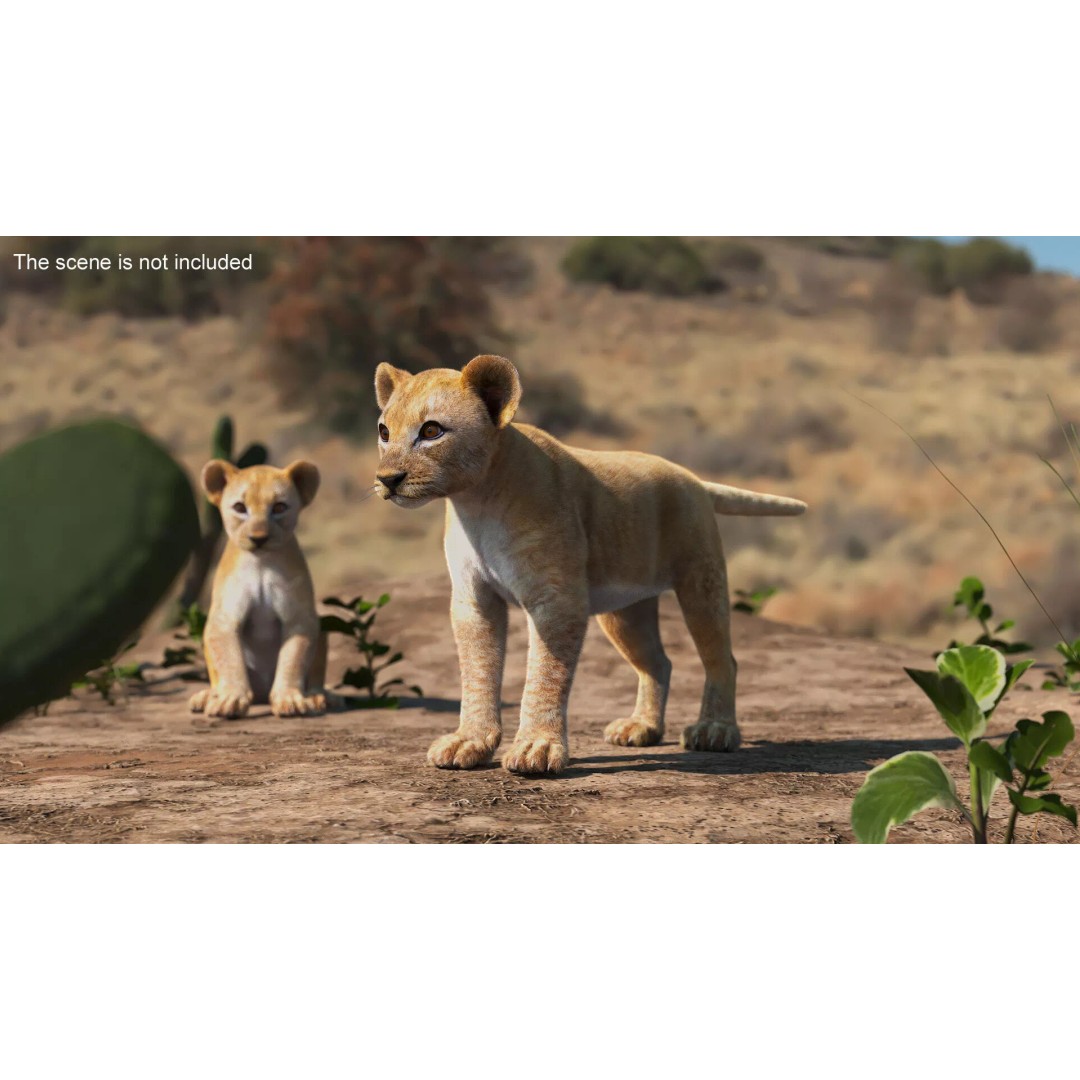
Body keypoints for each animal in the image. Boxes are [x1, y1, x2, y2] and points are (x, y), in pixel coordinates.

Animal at [188, 459, 328, 720]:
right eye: (240, 507)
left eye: (279, 507)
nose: (259, 538)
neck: (261, 564)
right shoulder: (223, 618)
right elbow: (230, 660)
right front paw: (230, 700)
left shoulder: (300, 618)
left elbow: (293, 659)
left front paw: (290, 700)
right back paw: (207, 696)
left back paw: (318, 697)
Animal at [374, 355, 807, 774]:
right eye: (384, 432)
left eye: (431, 431)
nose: (387, 479)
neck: (476, 502)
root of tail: (694, 478)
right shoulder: (473, 600)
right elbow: (477, 671)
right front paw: (470, 742)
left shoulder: (556, 598)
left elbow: (546, 675)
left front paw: (536, 748)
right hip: (625, 610)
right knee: (658, 663)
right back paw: (641, 728)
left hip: (701, 581)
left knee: (722, 658)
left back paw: (714, 730)